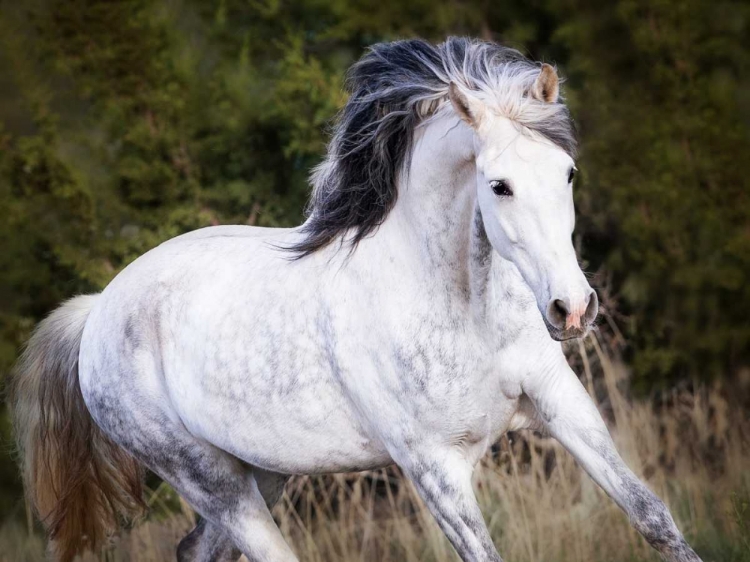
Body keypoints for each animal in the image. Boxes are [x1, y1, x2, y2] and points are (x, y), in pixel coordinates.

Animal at [13, 37, 704, 556]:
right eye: (499, 186)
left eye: (567, 173)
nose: (573, 309)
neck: (463, 311)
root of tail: (98, 310)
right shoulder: (432, 467)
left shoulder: (560, 400)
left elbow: (653, 516)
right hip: (212, 482)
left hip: (265, 472)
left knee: (192, 550)